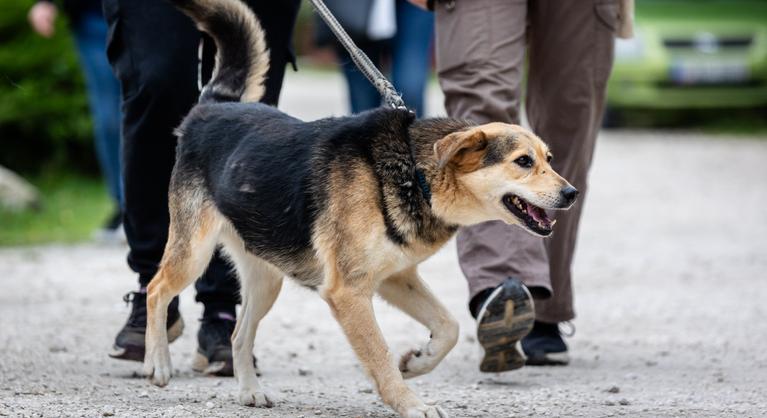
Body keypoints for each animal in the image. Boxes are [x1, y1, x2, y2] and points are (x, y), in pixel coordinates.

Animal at [142, 0, 576, 418]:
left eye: (549, 158)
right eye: (523, 162)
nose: (571, 193)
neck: (414, 172)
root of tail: (216, 105)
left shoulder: (396, 277)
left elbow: (449, 326)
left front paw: (418, 361)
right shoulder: (349, 291)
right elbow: (379, 357)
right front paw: (412, 404)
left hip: (266, 279)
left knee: (237, 334)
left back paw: (250, 391)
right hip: (193, 253)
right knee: (156, 288)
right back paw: (156, 363)